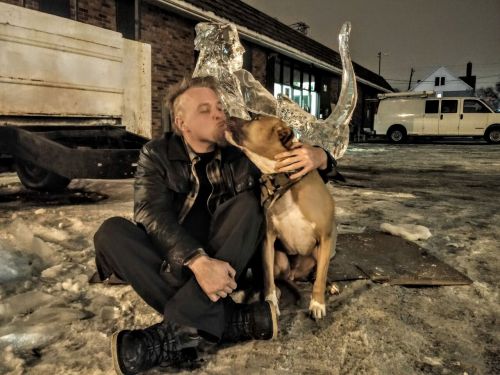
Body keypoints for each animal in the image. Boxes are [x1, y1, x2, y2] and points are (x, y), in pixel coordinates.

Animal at [226, 115, 336, 320]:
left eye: (255, 118)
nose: (228, 116)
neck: (285, 182)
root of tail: (293, 275)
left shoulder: (326, 237)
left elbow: (321, 277)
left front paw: (317, 304)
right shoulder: (268, 239)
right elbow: (268, 277)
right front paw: (270, 301)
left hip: (316, 253)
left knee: (318, 273)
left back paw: (329, 285)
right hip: (279, 258)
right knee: (279, 278)